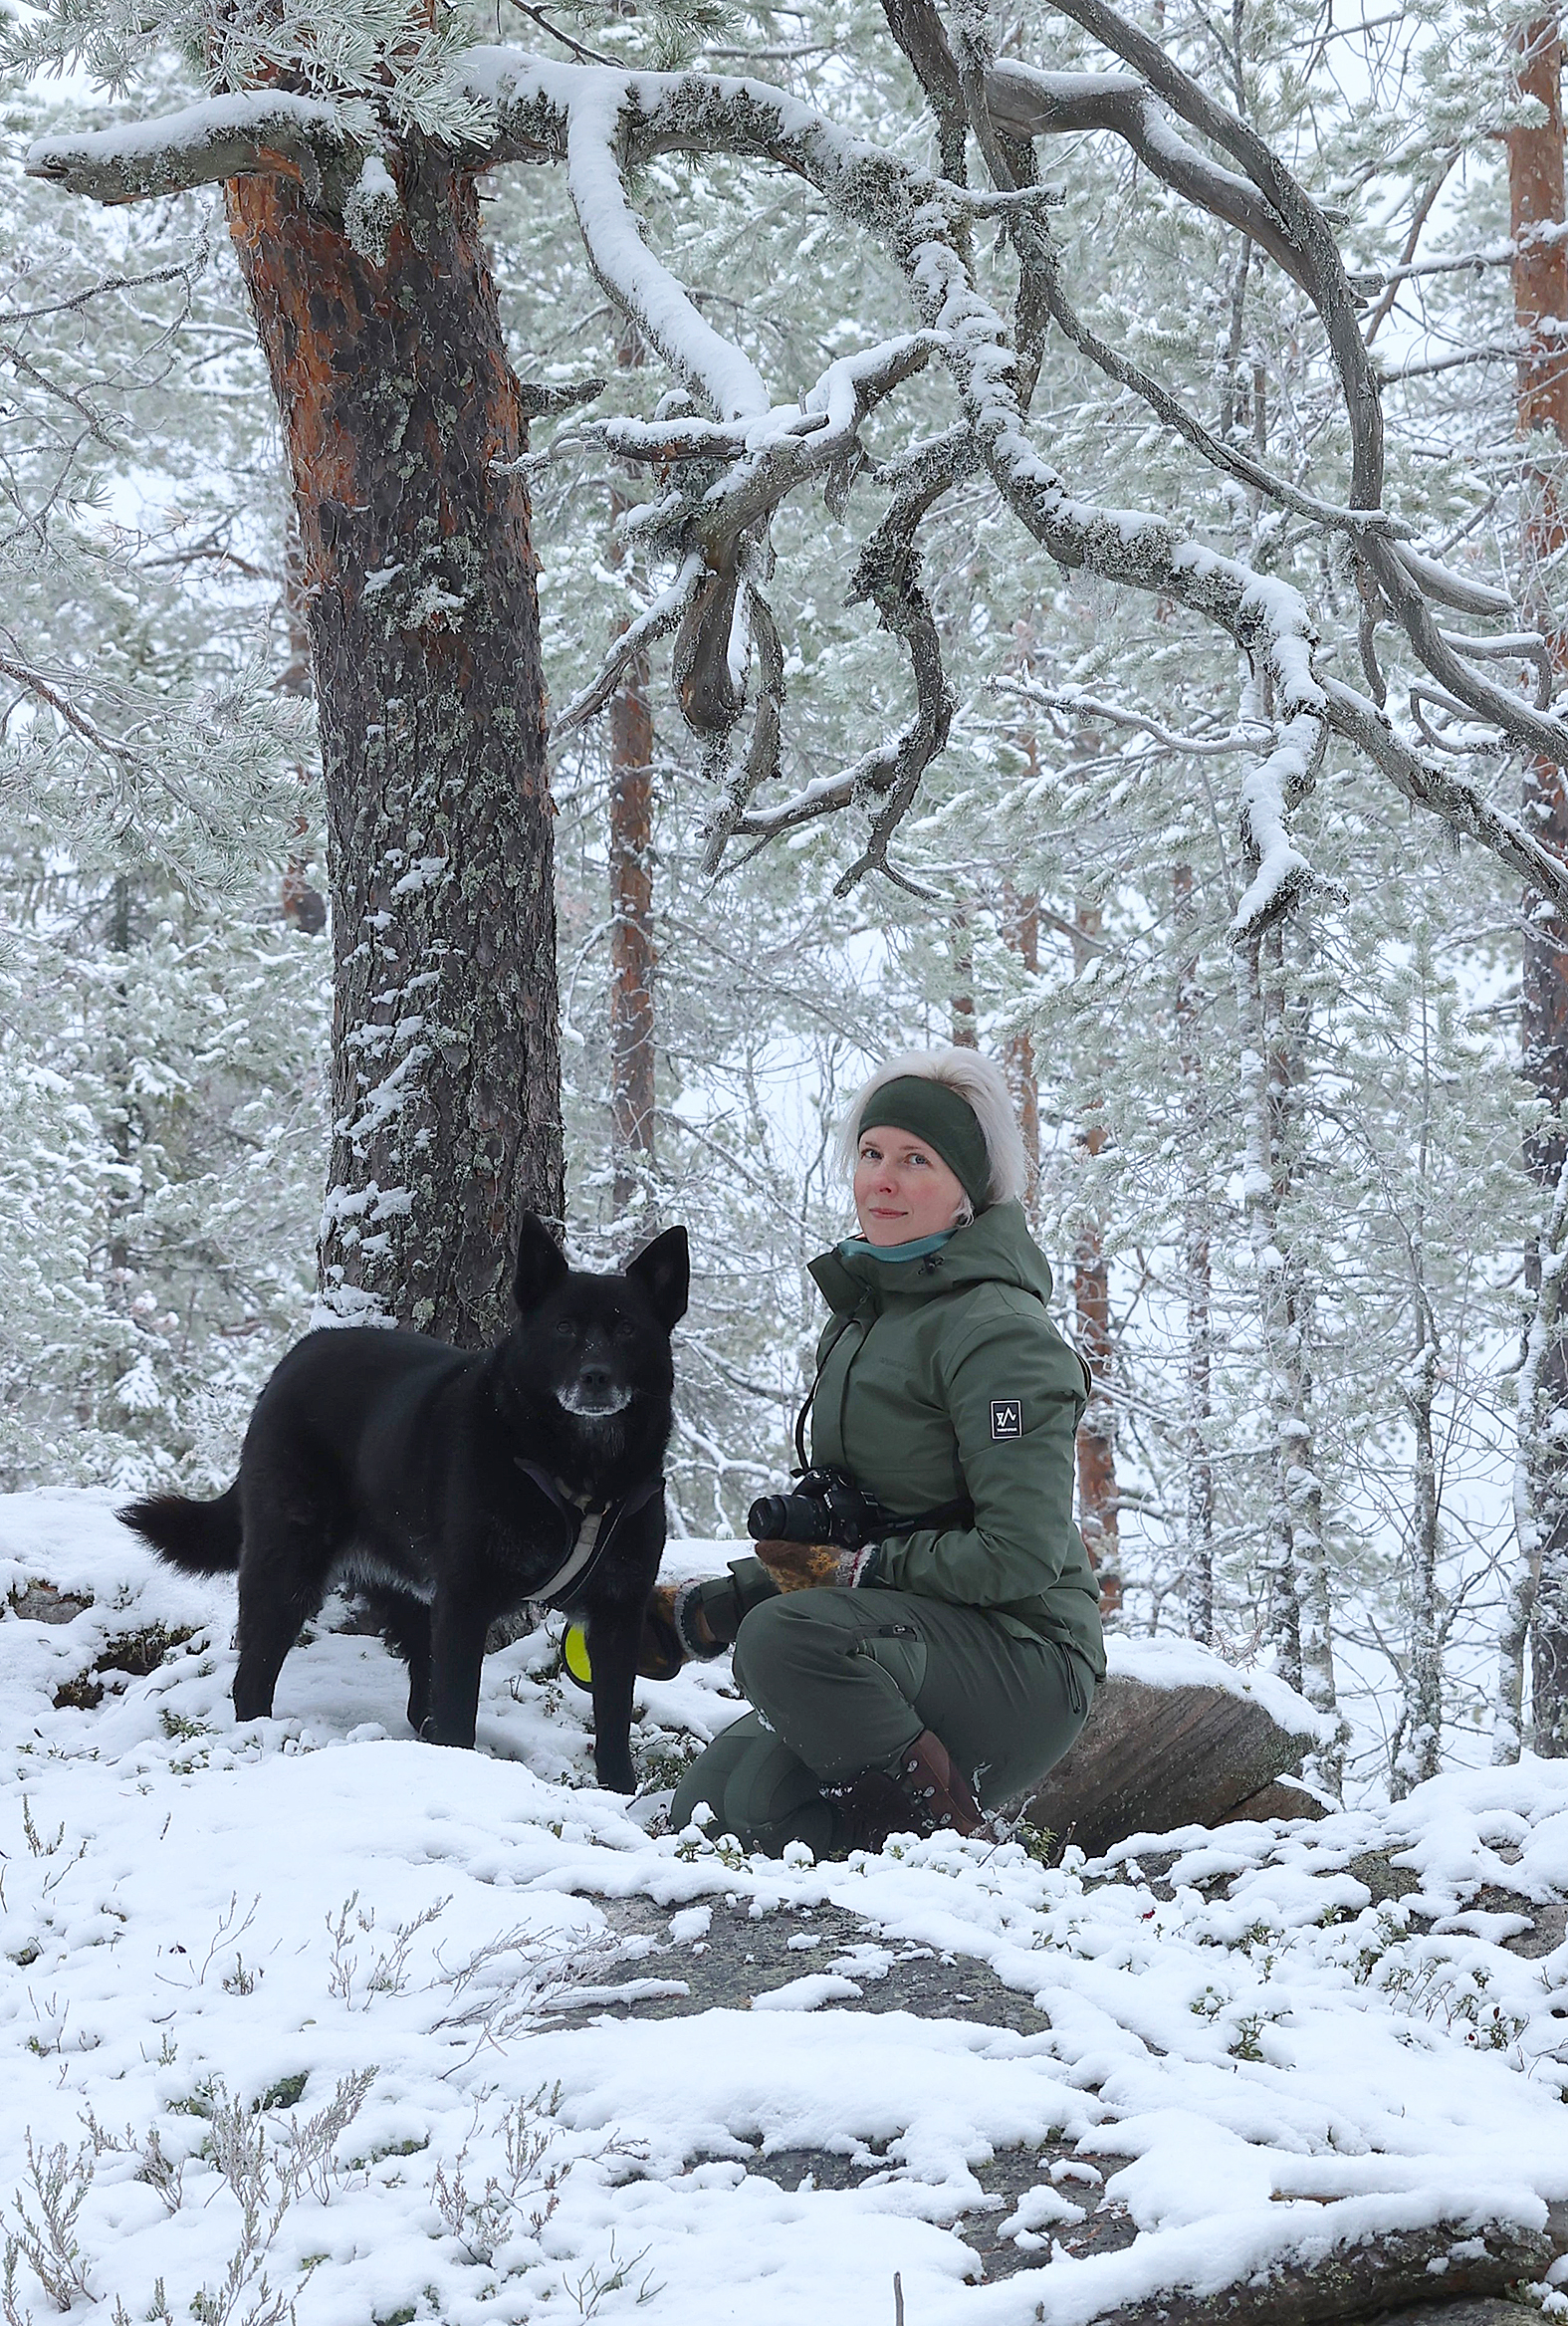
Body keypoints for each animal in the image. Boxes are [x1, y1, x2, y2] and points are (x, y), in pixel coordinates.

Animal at [121, 1219, 684, 1795]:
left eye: (628, 1330)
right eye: (565, 1327)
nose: (596, 1376)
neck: (580, 1473)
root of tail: (293, 1359)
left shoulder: (618, 1612)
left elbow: (613, 1721)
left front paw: (621, 1794)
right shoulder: (465, 1601)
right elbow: (459, 1707)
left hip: (409, 1589)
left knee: (419, 1693)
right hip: (288, 1569)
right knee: (253, 1673)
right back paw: (258, 1741)